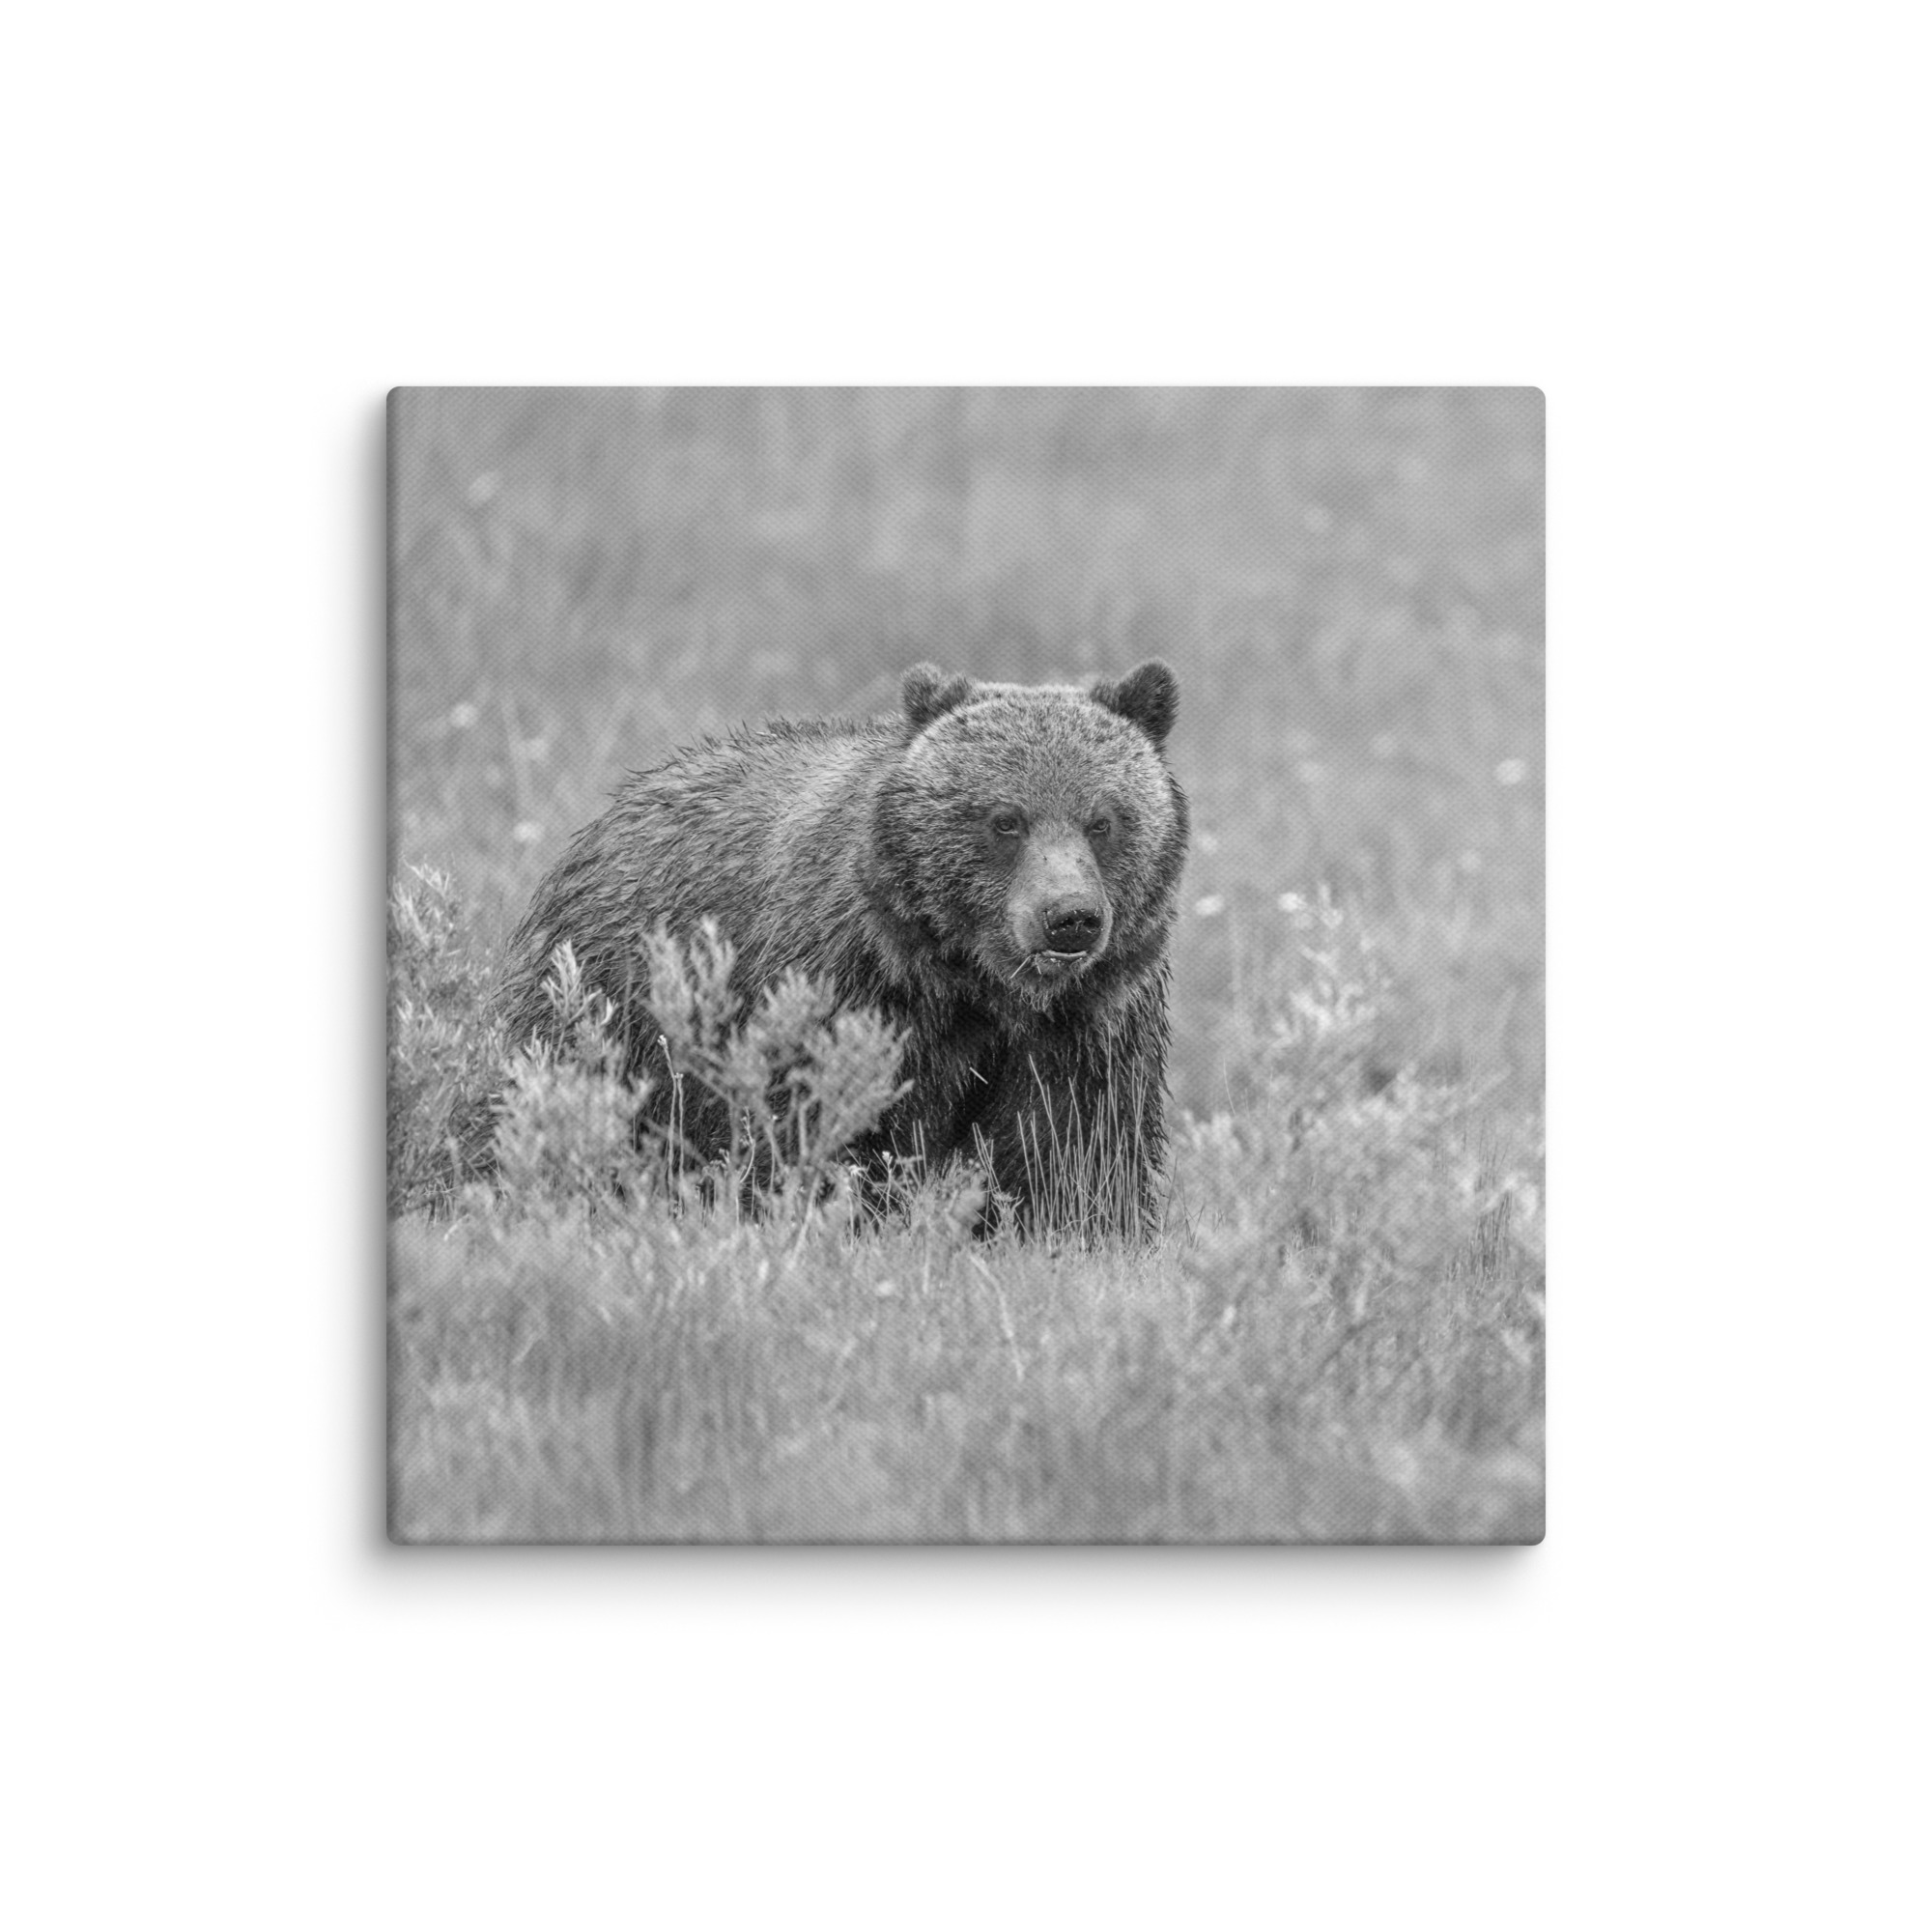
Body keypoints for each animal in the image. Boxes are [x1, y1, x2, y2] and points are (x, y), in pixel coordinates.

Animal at [495, 660, 1189, 1236]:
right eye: (1005, 820)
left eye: (1103, 820)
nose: (1069, 918)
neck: (975, 984)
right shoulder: (849, 989)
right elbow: (827, 1125)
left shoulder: (1088, 1023)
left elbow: (1076, 1149)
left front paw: (1078, 1234)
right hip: (613, 1002)